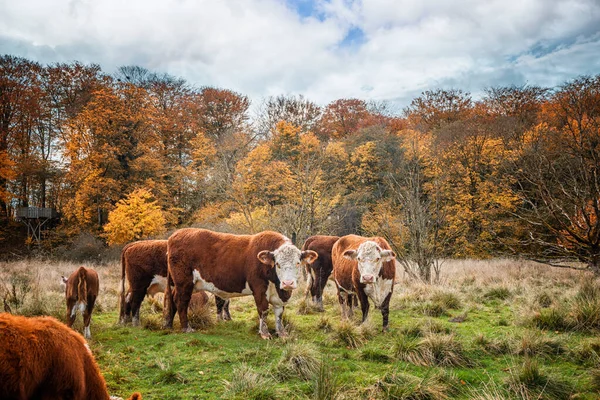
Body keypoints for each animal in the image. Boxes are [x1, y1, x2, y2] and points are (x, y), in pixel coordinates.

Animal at [162, 228, 316, 338]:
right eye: (277, 264)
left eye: (297, 263)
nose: (288, 283)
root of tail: (175, 235)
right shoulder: (259, 289)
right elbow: (263, 310)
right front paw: (265, 333)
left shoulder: (279, 295)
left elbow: (279, 313)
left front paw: (282, 333)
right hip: (184, 283)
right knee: (181, 301)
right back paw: (186, 328)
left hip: (180, 284)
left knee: (172, 299)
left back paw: (168, 324)